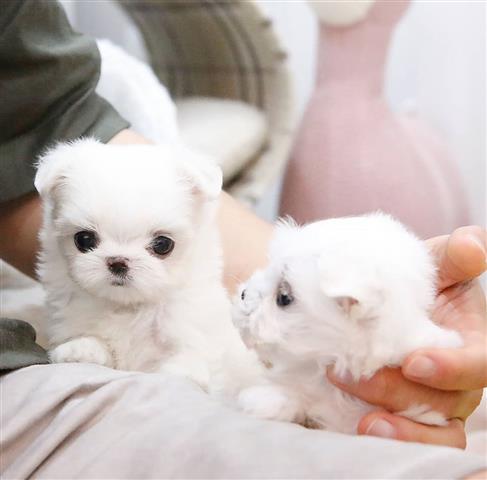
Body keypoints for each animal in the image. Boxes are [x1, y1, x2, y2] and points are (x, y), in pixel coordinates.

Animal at [35, 138, 264, 394]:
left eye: (163, 244)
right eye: (84, 240)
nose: (118, 262)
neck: (130, 307)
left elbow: (187, 362)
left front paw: (183, 372)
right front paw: (80, 349)